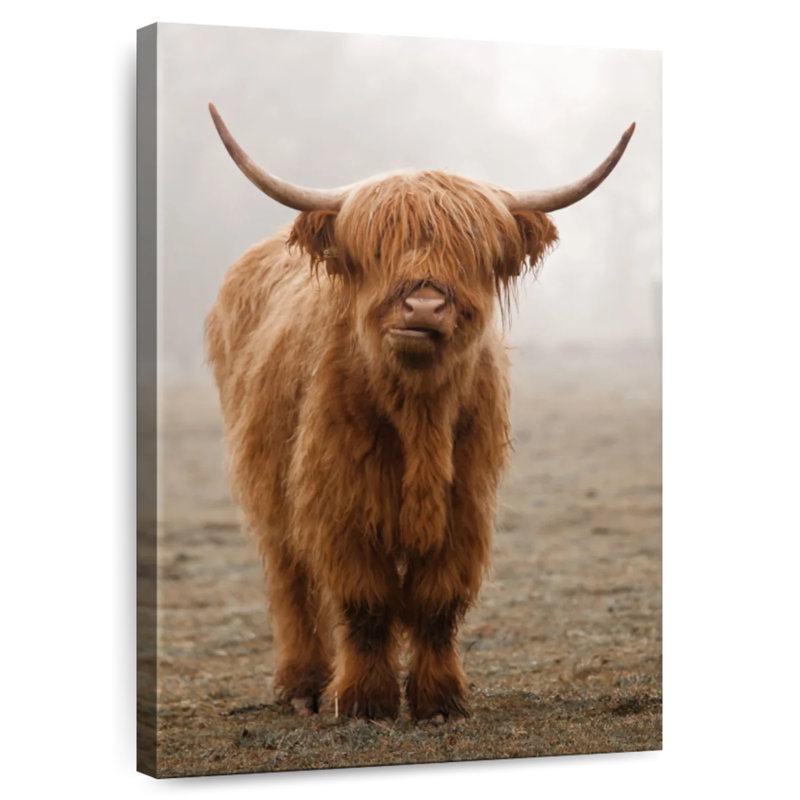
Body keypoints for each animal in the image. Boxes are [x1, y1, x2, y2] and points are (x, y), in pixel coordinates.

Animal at [205, 103, 634, 722]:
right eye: (378, 251)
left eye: (470, 252)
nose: (425, 306)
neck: (419, 414)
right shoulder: (340, 499)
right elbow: (364, 602)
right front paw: (365, 701)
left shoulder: (467, 502)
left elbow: (438, 602)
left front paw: (440, 700)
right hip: (268, 486)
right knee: (290, 580)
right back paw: (303, 685)